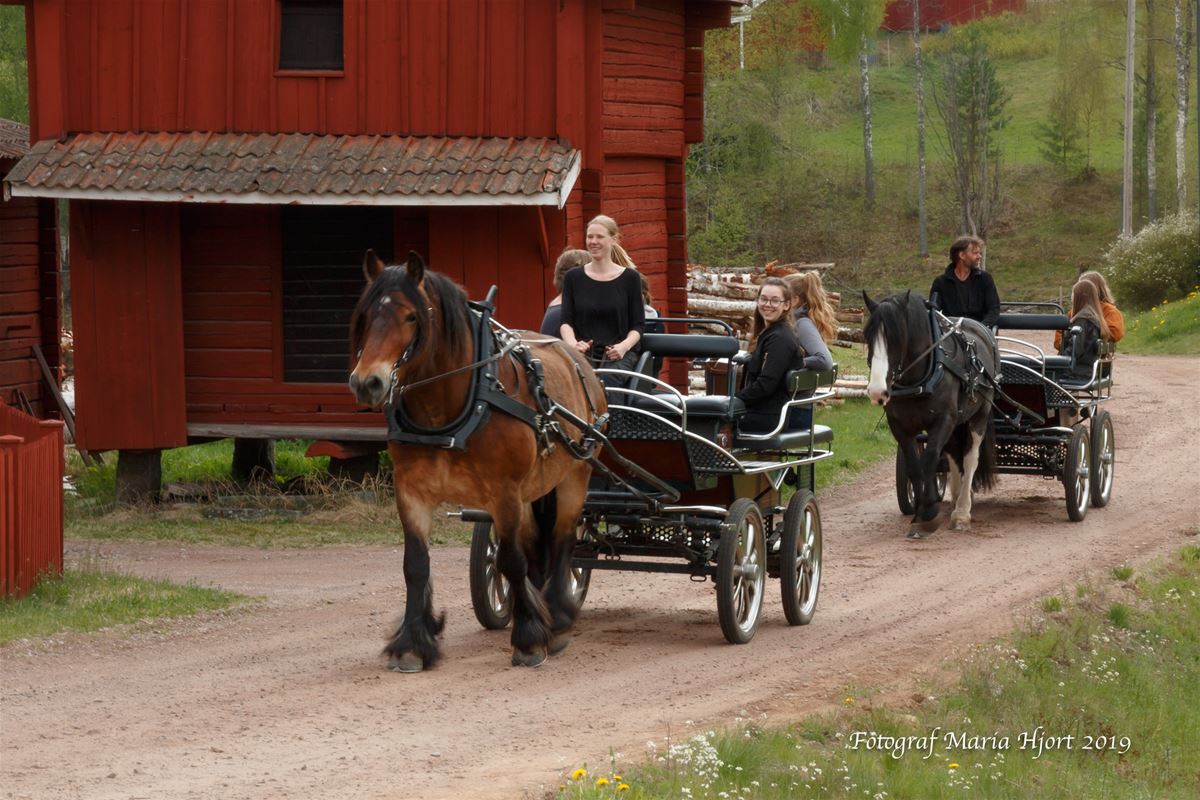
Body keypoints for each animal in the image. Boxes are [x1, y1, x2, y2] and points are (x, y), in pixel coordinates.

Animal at [348, 253, 609, 671]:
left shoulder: (503, 491)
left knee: (563, 540)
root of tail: (580, 361)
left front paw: (530, 640)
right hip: (529, 492)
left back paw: (557, 617)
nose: (367, 382)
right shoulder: (410, 490)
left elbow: (510, 561)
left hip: (576, 474)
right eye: (367, 315)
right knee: (536, 544)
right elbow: (415, 565)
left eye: (410, 317)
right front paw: (412, 644)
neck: (450, 412)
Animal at [868, 292, 998, 537]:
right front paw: (920, 511)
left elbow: (929, 460)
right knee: (955, 455)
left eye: (897, 339)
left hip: (979, 414)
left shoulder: (943, 420)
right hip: (958, 422)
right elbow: (915, 466)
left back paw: (962, 511)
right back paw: (956, 496)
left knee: (970, 458)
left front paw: (928, 513)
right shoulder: (900, 426)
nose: (877, 391)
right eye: (868, 339)